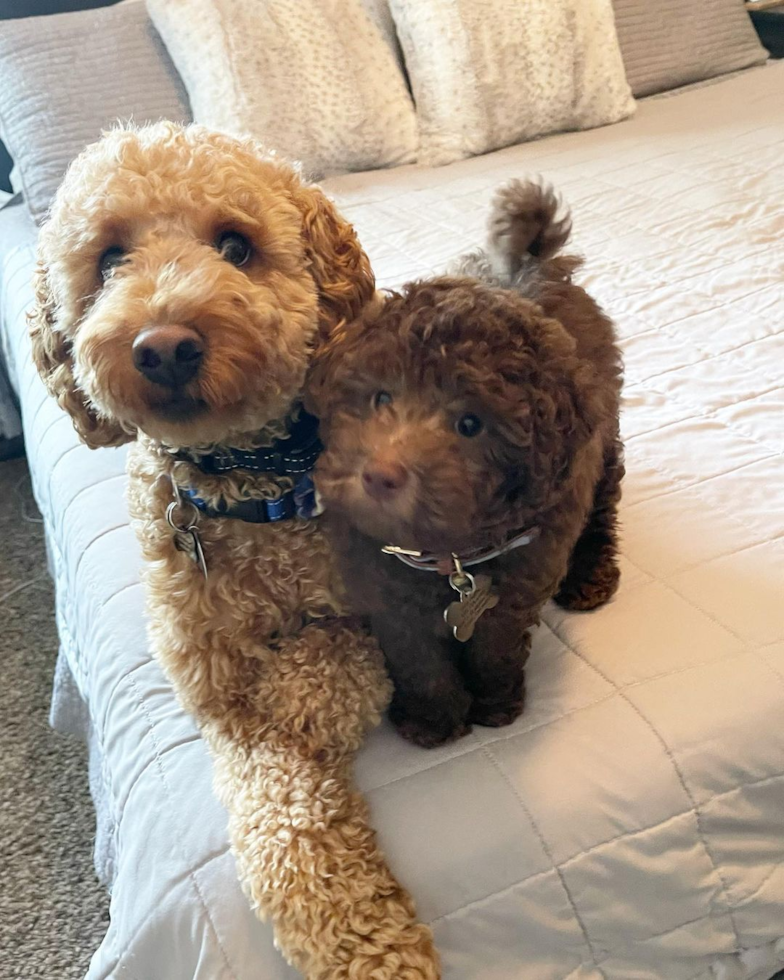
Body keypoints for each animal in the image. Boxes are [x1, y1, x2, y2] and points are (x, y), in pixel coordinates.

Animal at [27, 122, 438, 980]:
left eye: (235, 245)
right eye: (109, 259)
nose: (164, 346)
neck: (250, 486)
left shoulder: (369, 607)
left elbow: (330, 669)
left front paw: (305, 692)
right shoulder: (215, 694)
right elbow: (286, 823)